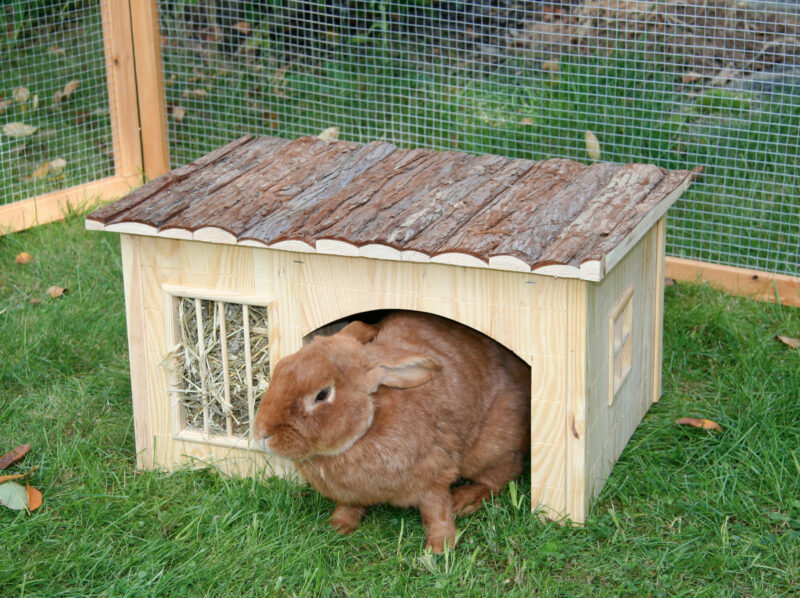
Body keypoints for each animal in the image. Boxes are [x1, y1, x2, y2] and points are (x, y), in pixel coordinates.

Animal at [255, 312, 532, 556]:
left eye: (322, 395)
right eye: (280, 369)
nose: (262, 433)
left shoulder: (434, 473)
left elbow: (437, 511)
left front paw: (439, 548)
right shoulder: (353, 494)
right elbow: (349, 507)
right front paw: (337, 526)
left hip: (491, 446)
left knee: (500, 475)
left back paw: (464, 499)